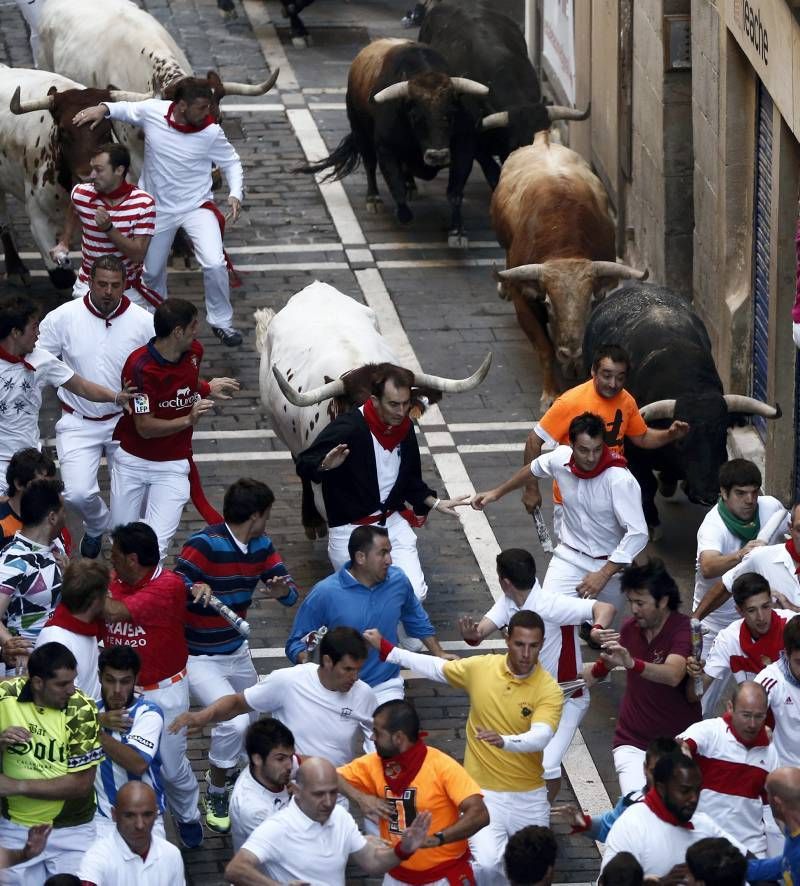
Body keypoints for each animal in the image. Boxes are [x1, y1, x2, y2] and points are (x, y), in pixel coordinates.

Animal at [490, 132, 648, 410]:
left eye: (589, 303)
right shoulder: (523, 299)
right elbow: (544, 347)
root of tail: (543, 139)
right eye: (548, 304)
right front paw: (550, 393)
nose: (571, 351)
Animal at [584, 284, 780, 532]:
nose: (707, 494)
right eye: (681, 441)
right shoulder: (634, 453)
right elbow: (645, 485)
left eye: (721, 435)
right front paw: (651, 521)